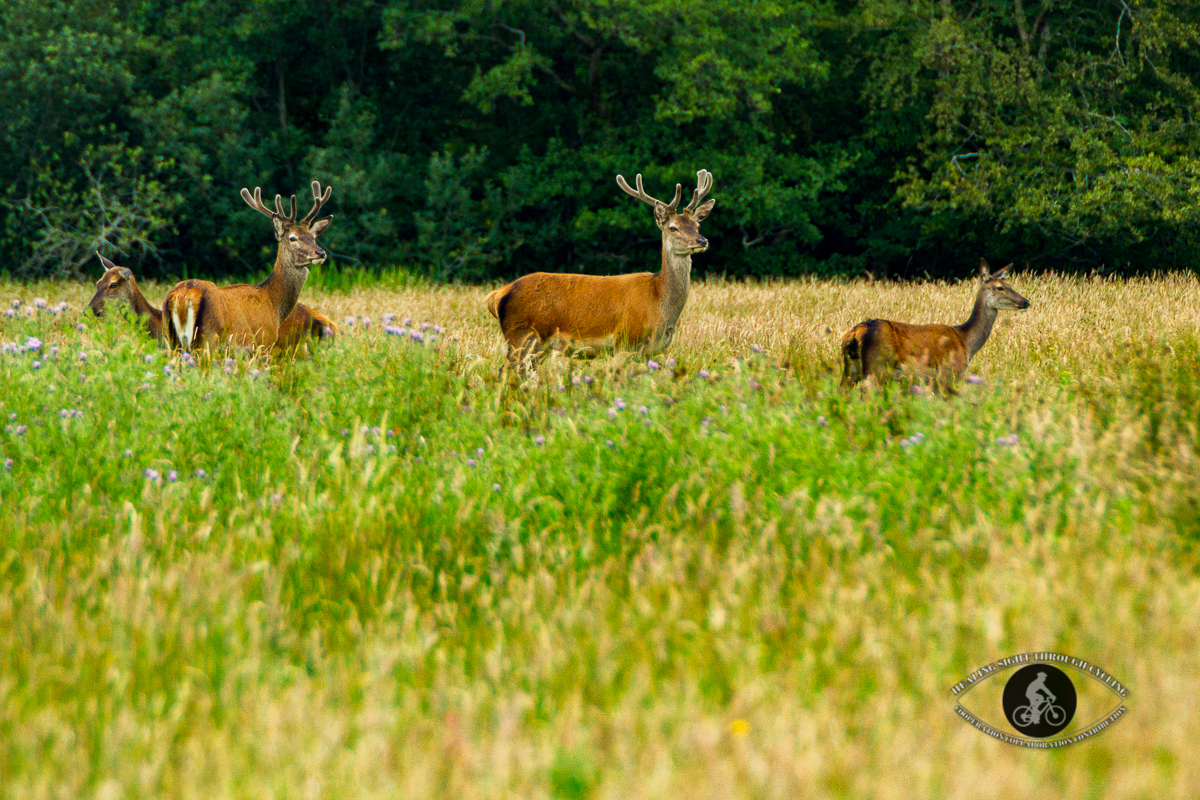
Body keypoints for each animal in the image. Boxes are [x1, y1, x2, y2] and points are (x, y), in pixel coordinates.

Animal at [162, 184, 336, 352]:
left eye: (313, 237)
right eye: (293, 238)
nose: (321, 253)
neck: (274, 303)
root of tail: (184, 294)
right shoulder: (263, 342)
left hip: (171, 336)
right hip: (209, 337)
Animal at [484, 170, 710, 371]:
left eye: (697, 226)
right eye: (673, 227)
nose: (702, 240)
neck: (658, 299)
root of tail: (498, 295)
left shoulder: (649, 352)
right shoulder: (624, 341)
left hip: (536, 347)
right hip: (522, 336)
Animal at [844, 261, 1032, 388]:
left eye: (1009, 285)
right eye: (1000, 287)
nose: (1026, 302)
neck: (966, 342)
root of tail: (855, 333)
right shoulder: (949, 372)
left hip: (851, 369)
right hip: (875, 367)